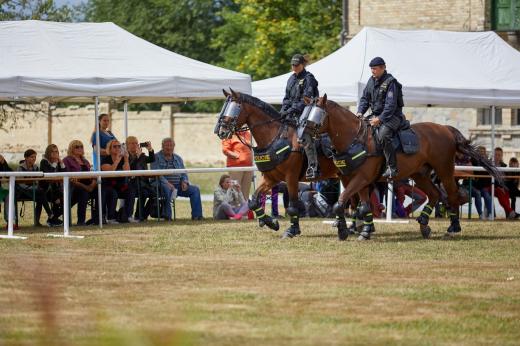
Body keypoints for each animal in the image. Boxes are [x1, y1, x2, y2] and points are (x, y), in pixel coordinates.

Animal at [217, 89, 356, 239]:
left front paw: (292, 230)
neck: (275, 137)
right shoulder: (270, 179)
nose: (222, 131)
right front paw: (270, 222)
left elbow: (292, 206)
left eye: (235, 108)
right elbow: (253, 200)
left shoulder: (291, 178)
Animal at [310, 94, 502, 241]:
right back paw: (424, 225)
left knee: (453, 195)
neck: (355, 139)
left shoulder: (361, 178)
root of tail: (445, 129)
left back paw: (453, 227)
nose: (305, 137)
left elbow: (341, 202)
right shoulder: (356, 179)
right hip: (419, 175)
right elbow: (361, 206)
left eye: (316, 117)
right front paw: (361, 231)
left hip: (444, 170)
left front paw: (345, 230)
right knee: (435, 194)